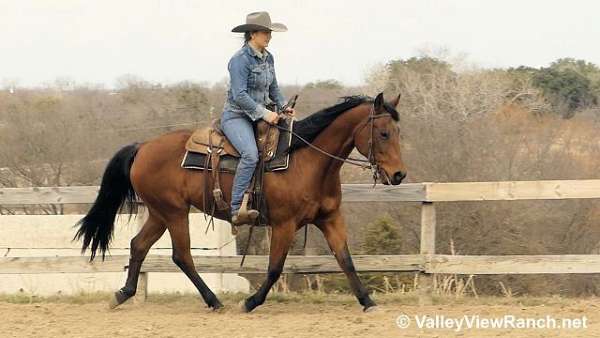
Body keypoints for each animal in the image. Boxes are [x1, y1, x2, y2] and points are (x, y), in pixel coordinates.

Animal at [72, 92, 406, 312]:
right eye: (383, 133)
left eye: (398, 131)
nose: (399, 174)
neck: (308, 161)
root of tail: (143, 147)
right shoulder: (284, 224)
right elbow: (274, 268)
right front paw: (251, 301)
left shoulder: (330, 219)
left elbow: (345, 260)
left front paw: (368, 301)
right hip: (174, 212)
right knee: (182, 256)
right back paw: (214, 300)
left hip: (158, 213)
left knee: (138, 246)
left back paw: (123, 294)